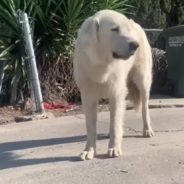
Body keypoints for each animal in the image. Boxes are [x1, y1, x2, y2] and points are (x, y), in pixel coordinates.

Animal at [72, 9, 155, 160]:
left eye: (128, 30)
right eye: (114, 29)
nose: (135, 45)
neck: (101, 63)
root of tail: (137, 24)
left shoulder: (116, 93)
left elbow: (115, 123)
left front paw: (114, 148)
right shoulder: (87, 96)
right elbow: (91, 127)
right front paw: (89, 150)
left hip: (143, 81)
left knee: (145, 107)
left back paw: (147, 130)